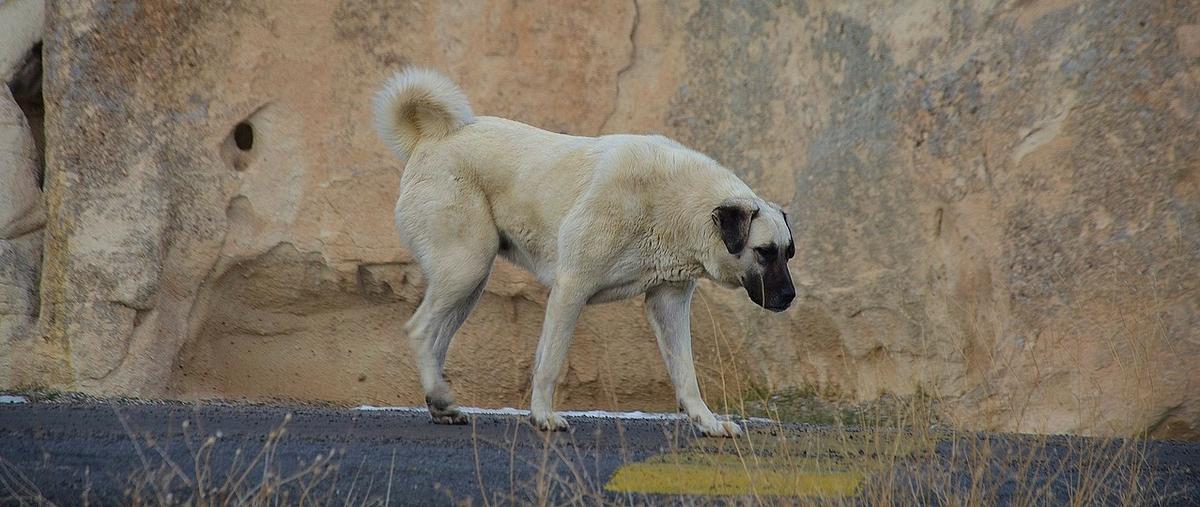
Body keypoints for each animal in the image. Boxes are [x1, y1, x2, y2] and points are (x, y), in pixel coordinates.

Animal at [369, 68, 792, 439]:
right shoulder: (571, 287)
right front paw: (543, 416)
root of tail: (431, 139)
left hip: (468, 284)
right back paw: (440, 397)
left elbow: (686, 374)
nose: (790, 297)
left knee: (437, 339)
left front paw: (708, 423)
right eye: (764, 252)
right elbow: (550, 362)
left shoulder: (668, 302)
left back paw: (440, 403)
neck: (679, 201)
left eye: (788, 253)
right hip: (465, 268)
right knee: (420, 330)